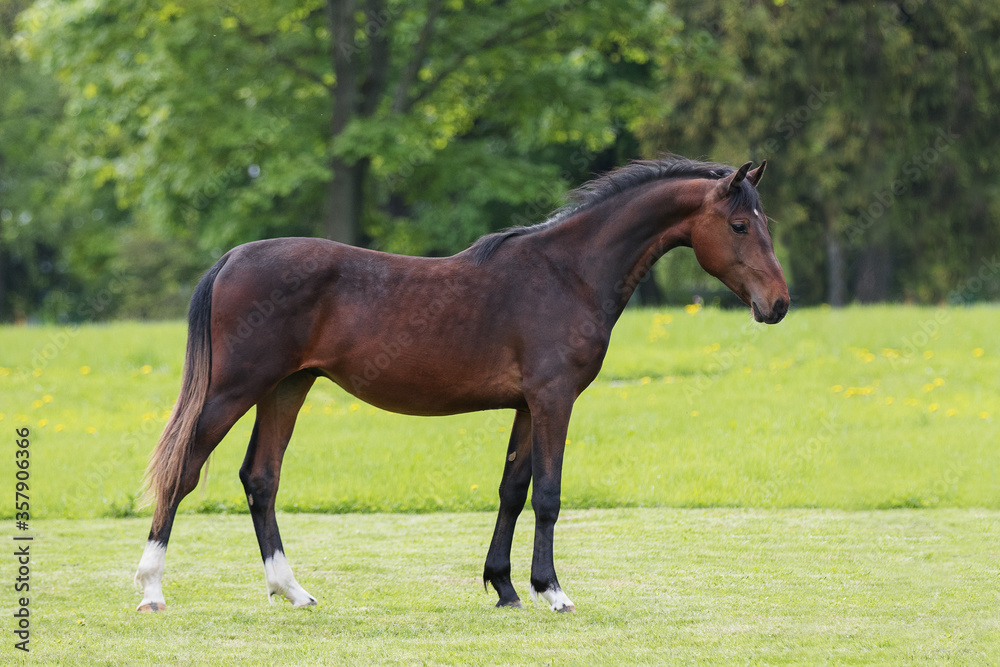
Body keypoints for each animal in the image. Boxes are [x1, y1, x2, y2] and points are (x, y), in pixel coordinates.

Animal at [135, 154, 788, 612]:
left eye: (765, 224)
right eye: (738, 225)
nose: (778, 304)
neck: (567, 272)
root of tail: (233, 257)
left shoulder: (526, 406)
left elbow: (512, 490)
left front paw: (505, 587)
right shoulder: (554, 400)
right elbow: (548, 495)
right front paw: (553, 591)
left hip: (286, 388)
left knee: (261, 478)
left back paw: (291, 590)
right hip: (235, 389)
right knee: (184, 469)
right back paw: (151, 588)